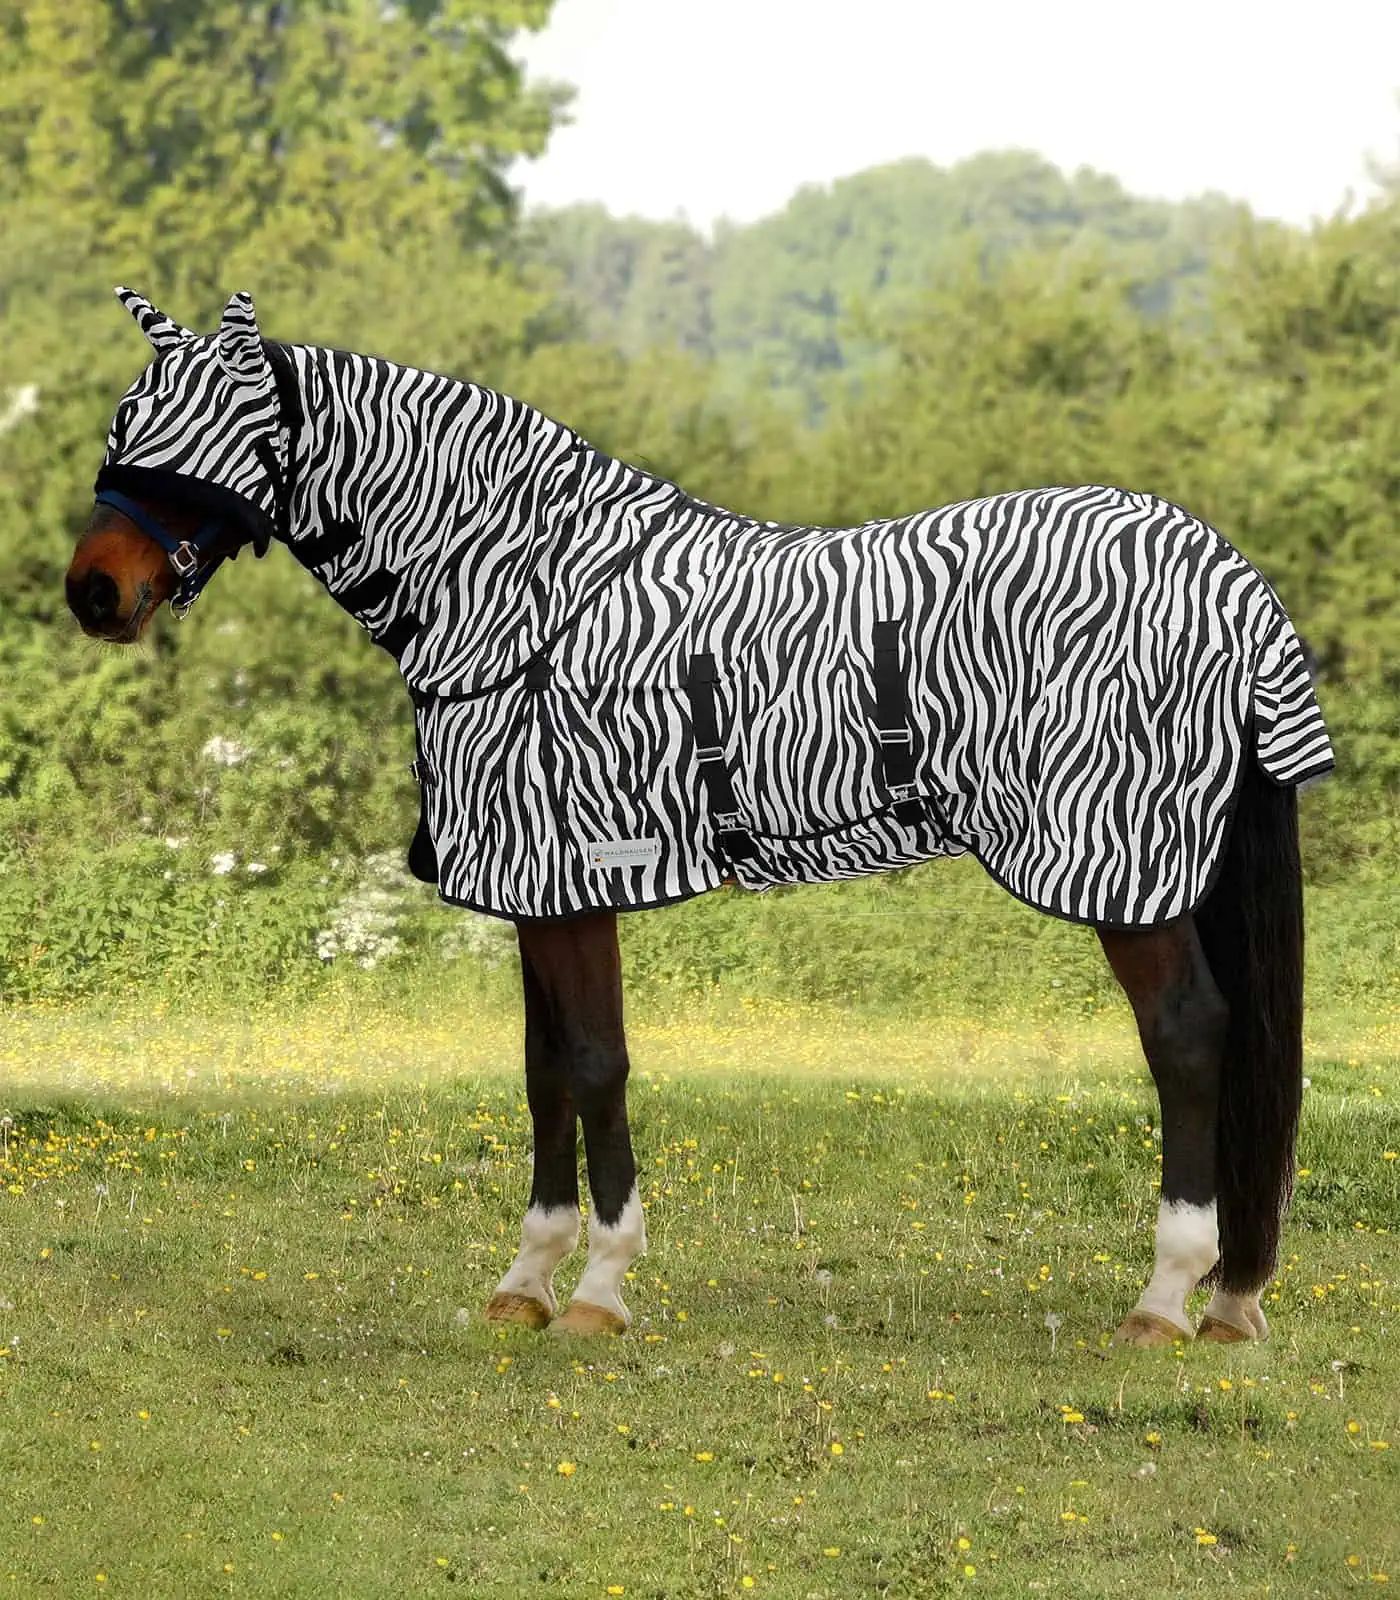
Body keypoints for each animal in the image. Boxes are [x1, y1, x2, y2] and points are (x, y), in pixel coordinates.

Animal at [67, 287, 1332, 1345]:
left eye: (204, 435)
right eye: (128, 417)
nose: (93, 591)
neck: (523, 596)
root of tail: (1224, 577)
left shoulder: (573, 876)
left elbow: (593, 1063)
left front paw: (597, 1287)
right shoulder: (537, 890)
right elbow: (542, 1070)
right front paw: (525, 1280)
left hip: (1126, 868)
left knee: (1187, 1038)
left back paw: (1165, 1297)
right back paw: (1228, 1299)